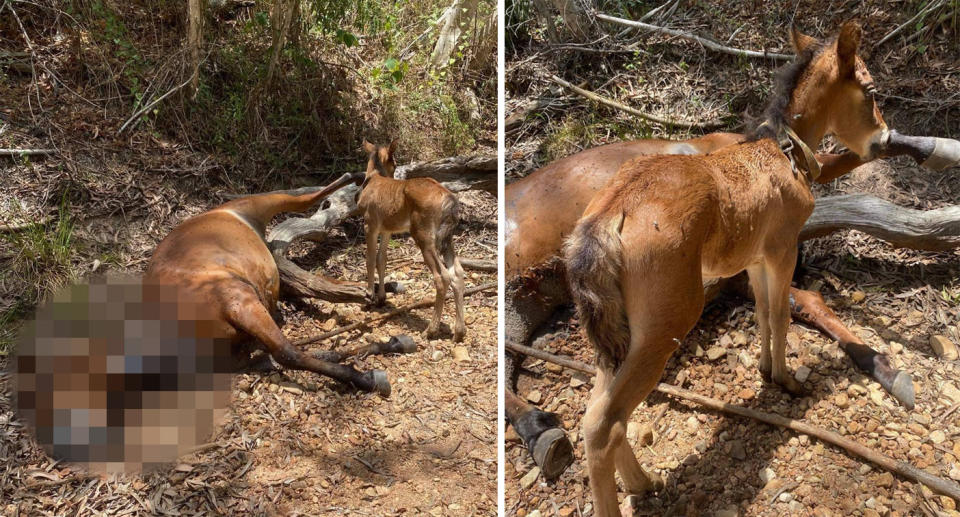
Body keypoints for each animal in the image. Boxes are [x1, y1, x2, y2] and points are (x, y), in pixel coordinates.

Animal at [358, 141, 466, 340]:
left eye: (394, 164)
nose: (393, 173)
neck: (373, 178)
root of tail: (450, 202)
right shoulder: (387, 229)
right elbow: (381, 259)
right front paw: (381, 298)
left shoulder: (370, 224)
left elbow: (369, 259)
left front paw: (369, 296)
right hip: (447, 238)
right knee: (457, 272)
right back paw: (459, 331)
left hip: (423, 235)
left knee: (442, 276)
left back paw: (431, 330)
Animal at [568, 22, 888, 512]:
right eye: (869, 91)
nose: (884, 139)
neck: (784, 152)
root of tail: (610, 213)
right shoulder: (783, 248)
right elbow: (781, 313)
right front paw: (786, 380)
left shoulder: (755, 257)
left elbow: (761, 311)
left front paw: (764, 369)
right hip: (665, 323)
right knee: (607, 422)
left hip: (617, 332)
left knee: (595, 413)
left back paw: (644, 481)